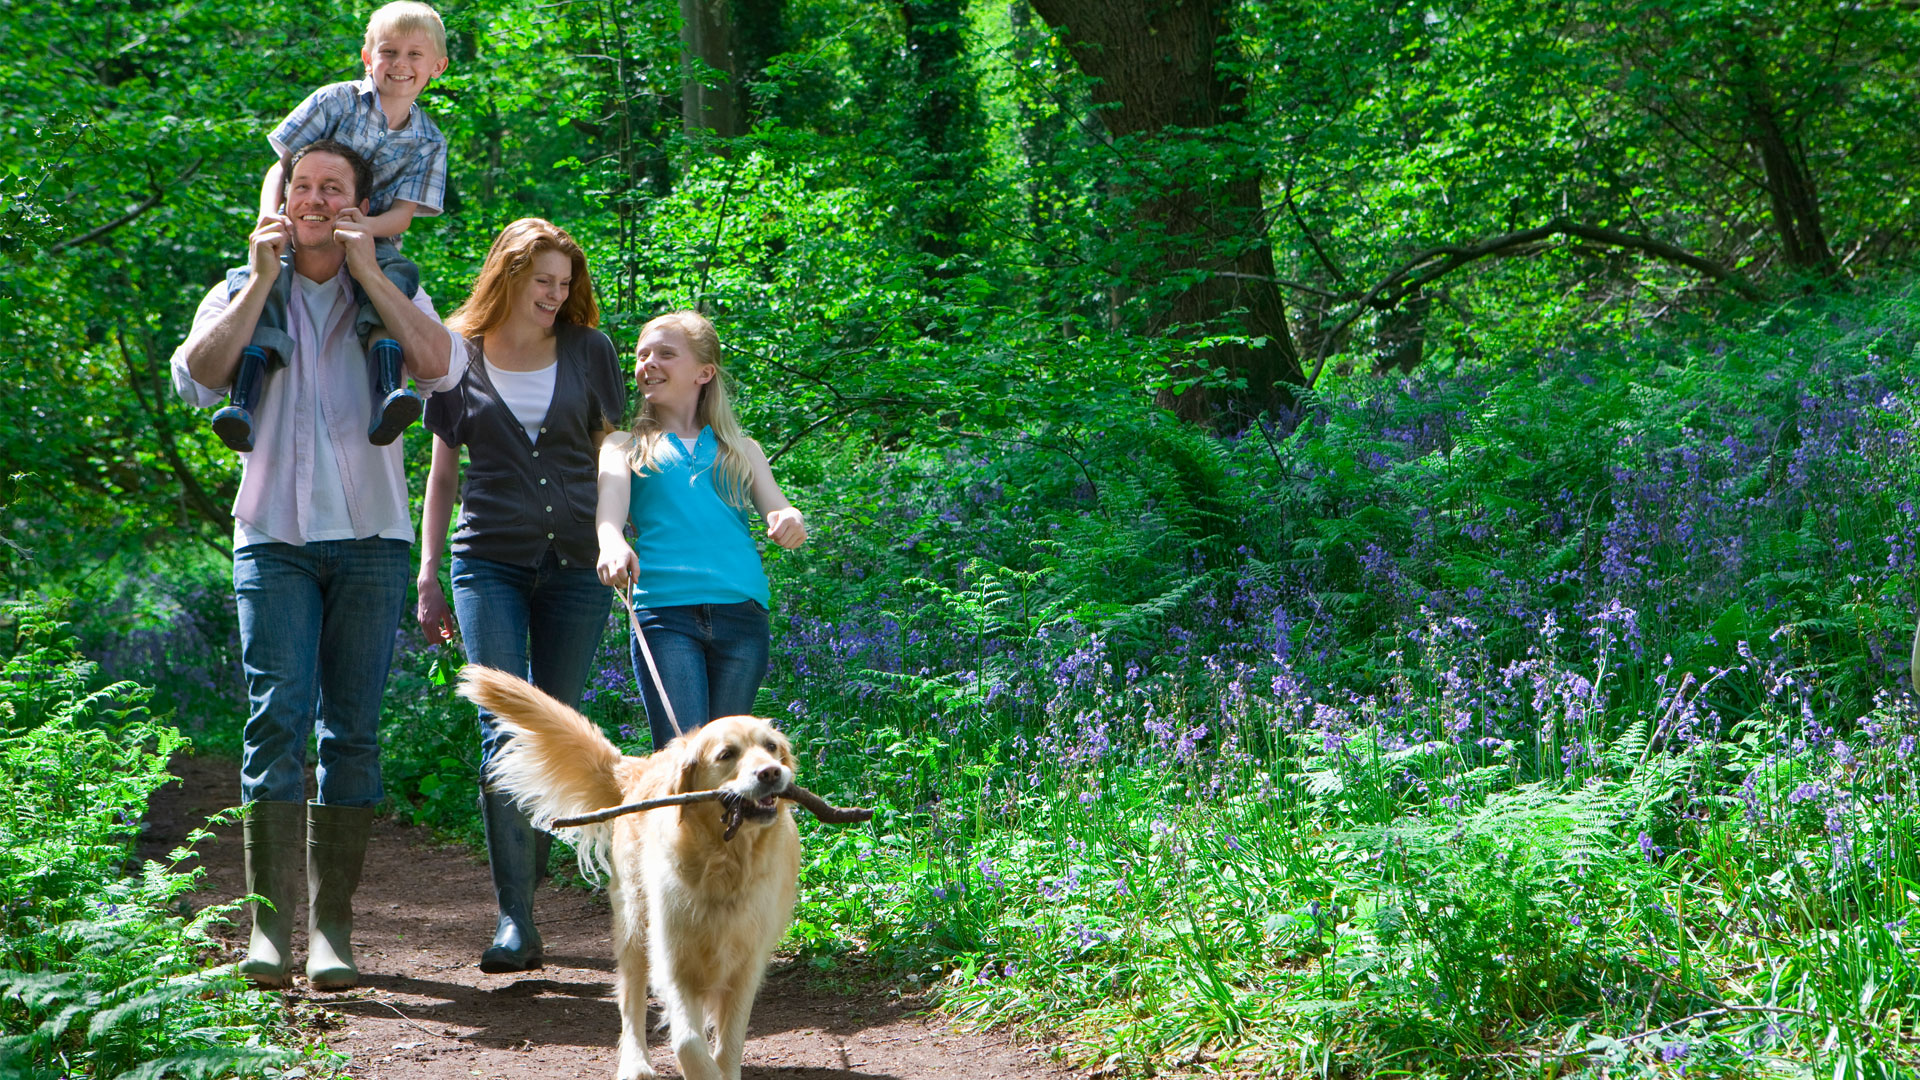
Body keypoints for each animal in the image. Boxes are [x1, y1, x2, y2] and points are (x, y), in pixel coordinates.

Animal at [458, 664, 802, 1076]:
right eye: (726, 754)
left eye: (771, 747)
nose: (771, 773)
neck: (725, 860)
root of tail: (640, 767)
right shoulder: (673, 956)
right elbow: (687, 1041)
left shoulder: (747, 963)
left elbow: (729, 1043)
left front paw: (723, 1070)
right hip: (636, 921)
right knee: (630, 999)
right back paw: (635, 1064)